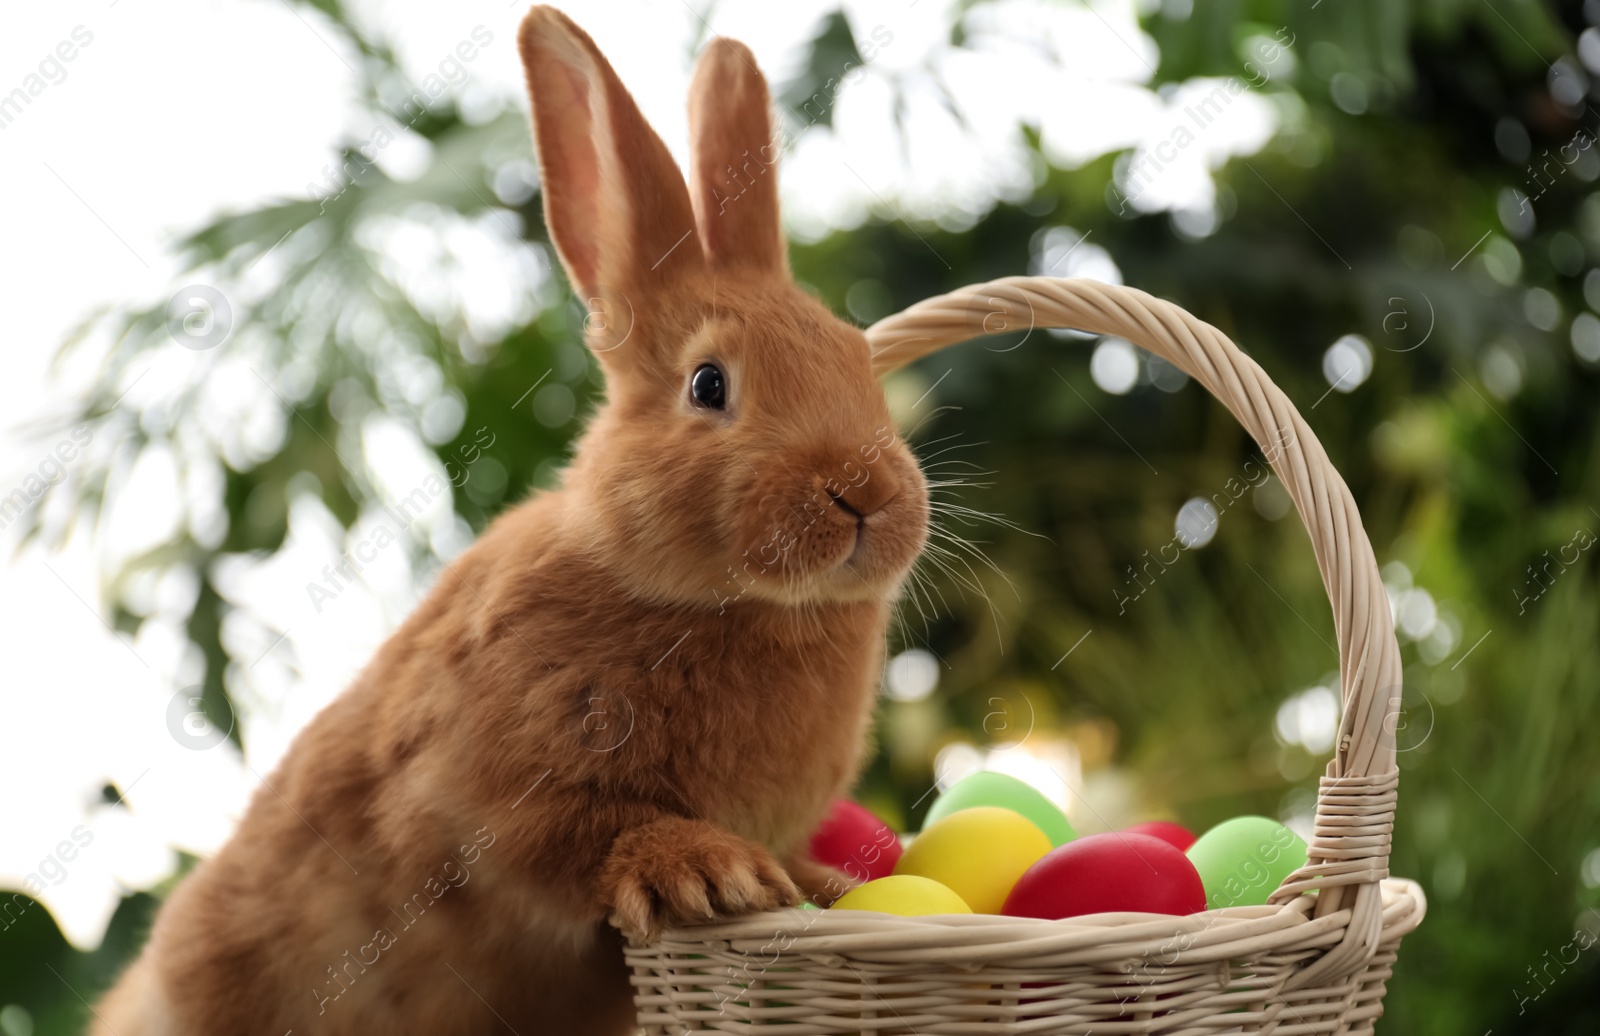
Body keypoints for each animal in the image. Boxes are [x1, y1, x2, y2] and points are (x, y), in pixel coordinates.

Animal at [93, 8, 934, 1036]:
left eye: (860, 360)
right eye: (709, 385)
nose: (869, 494)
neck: (720, 600)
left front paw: (819, 885)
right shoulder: (478, 795)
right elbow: (589, 837)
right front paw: (711, 875)